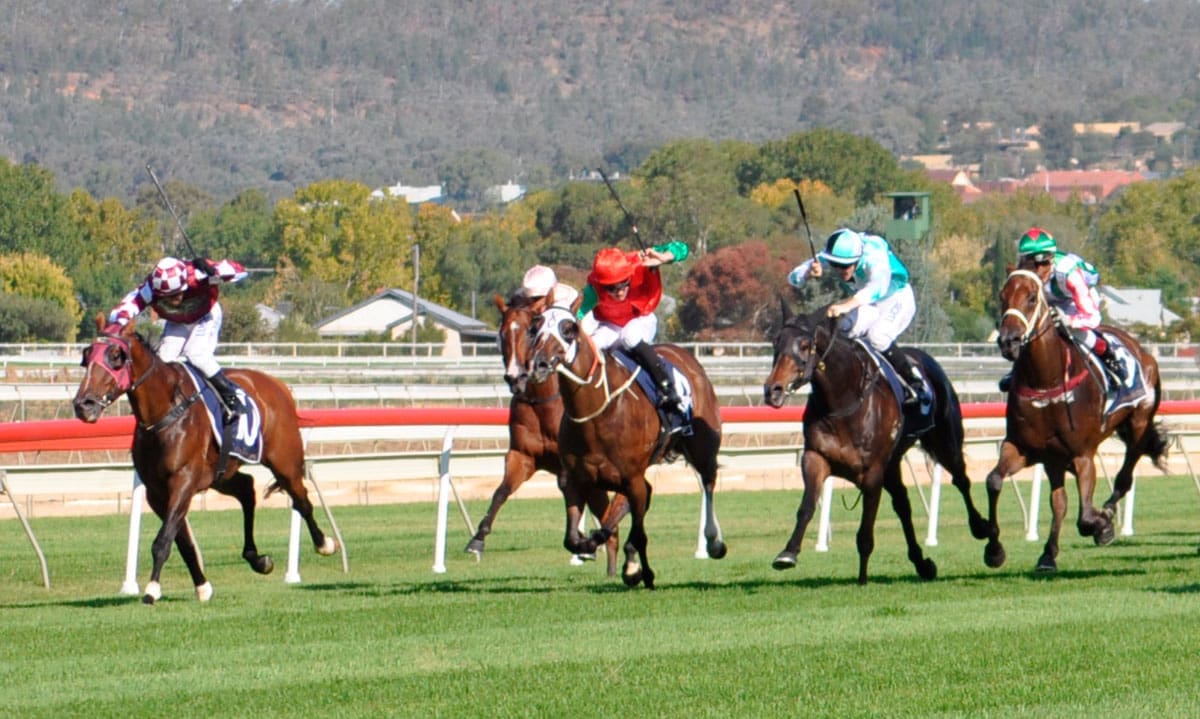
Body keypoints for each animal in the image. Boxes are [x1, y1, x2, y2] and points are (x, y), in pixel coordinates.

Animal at [72, 316, 336, 604]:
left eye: (115, 356)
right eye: (87, 356)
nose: (83, 404)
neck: (164, 412)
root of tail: (278, 385)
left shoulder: (183, 480)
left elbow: (163, 540)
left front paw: (152, 589)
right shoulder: (157, 491)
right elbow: (182, 541)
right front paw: (202, 585)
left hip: (284, 460)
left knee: (301, 499)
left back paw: (324, 543)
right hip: (220, 474)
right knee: (247, 489)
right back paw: (258, 559)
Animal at [460, 292, 628, 573]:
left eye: (531, 331)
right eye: (501, 334)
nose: (514, 377)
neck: (542, 402)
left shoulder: (569, 465)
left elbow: (570, 494)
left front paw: (581, 541)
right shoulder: (522, 455)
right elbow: (501, 491)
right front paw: (477, 539)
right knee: (609, 519)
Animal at [530, 306, 724, 588]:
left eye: (568, 330)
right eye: (535, 328)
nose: (540, 364)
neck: (597, 413)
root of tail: (688, 357)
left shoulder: (631, 478)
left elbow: (636, 532)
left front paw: (642, 572)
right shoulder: (577, 479)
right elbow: (573, 539)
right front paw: (596, 549)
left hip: (702, 449)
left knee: (708, 482)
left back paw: (713, 541)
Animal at [758, 301, 1003, 583]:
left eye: (805, 344)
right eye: (776, 342)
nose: (773, 389)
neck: (842, 401)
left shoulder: (873, 471)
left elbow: (866, 530)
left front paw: (862, 579)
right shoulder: (815, 458)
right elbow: (807, 507)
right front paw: (788, 553)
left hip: (945, 442)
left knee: (961, 481)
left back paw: (988, 539)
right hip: (893, 463)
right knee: (903, 505)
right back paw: (922, 563)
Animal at [988, 267, 1166, 571]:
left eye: (1032, 298)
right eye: (1002, 296)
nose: (1008, 341)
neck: (1045, 382)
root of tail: (1143, 351)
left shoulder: (1083, 454)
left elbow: (1085, 517)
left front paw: (1103, 526)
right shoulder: (1025, 449)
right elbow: (994, 481)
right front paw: (994, 550)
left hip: (1139, 423)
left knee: (1124, 477)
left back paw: (1107, 512)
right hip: (1055, 459)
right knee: (1060, 501)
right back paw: (1048, 554)